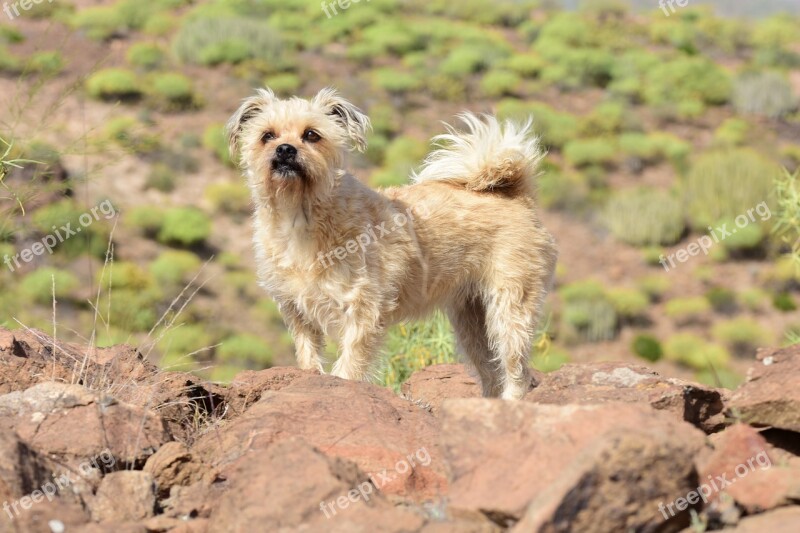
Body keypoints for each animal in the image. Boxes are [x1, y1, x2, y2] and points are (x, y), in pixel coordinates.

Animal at [228, 87, 560, 396]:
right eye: (267, 135)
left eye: (312, 135)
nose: (285, 149)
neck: (300, 213)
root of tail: (516, 196)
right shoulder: (296, 311)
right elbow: (308, 354)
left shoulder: (363, 309)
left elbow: (349, 364)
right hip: (472, 319)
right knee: (491, 372)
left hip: (511, 307)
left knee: (516, 371)